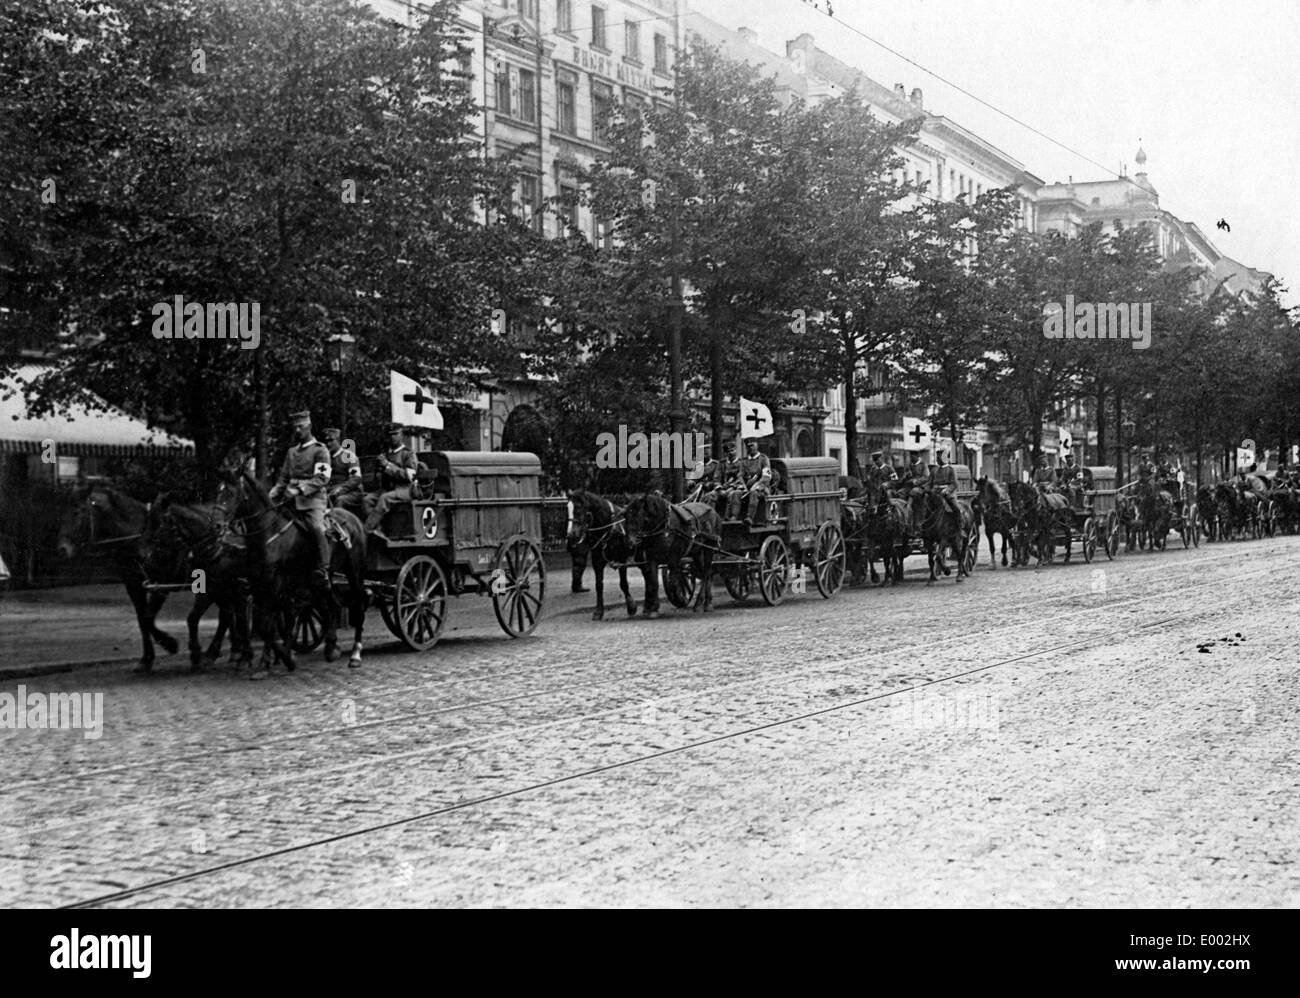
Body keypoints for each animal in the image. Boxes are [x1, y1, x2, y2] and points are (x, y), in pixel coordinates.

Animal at [56, 480, 180, 670]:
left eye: (78, 511)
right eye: (62, 513)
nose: (62, 549)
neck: (138, 536)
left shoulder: (162, 584)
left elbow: (147, 617)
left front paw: (169, 643)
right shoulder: (134, 584)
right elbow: (143, 619)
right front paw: (147, 659)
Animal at [138, 493, 252, 670]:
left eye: (159, 524)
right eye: (146, 522)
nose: (144, 557)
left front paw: (183, 648)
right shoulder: (161, 585)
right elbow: (147, 617)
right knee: (226, 615)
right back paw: (223, 651)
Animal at [223, 465, 366, 670]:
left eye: (230, 493)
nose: (219, 524)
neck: (270, 531)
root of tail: (354, 518)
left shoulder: (279, 588)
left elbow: (279, 622)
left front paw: (285, 657)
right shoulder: (260, 588)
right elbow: (265, 625)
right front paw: (270, 660)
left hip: (354, 572)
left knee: (358, 605)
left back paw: (355, 654)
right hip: (324, 580)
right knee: (333, 606)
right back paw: (331, 648)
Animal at [566, 488, 637, 618]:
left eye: (578, 508)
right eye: (567, 508)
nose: (570, 535)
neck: (609, 528)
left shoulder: (621, 558)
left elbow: (623, 583)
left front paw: (631, 606)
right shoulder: (597, 560)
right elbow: (599, 585)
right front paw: (599, 611)